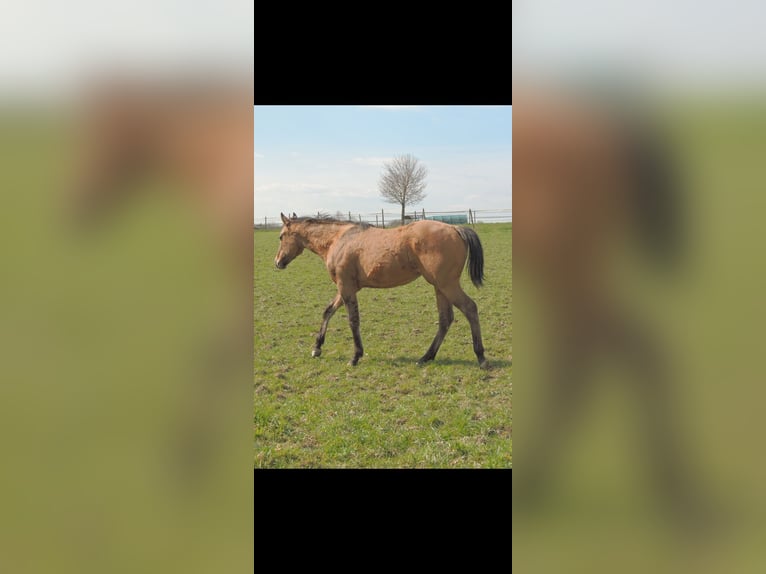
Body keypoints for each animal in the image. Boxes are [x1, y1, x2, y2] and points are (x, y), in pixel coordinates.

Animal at [274, 213, 489, 368]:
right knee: (445, 319)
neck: (338, 239)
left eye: (281, 236)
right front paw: (317, 348)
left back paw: (481, 357)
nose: (277, 262)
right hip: (440, 287)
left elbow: (353, 320)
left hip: (447, 285)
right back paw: (426, 357)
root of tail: (455, 228)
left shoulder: (346, 287)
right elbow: (328, 311)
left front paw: (355, 357)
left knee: (470, 308)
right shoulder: (346, 288)